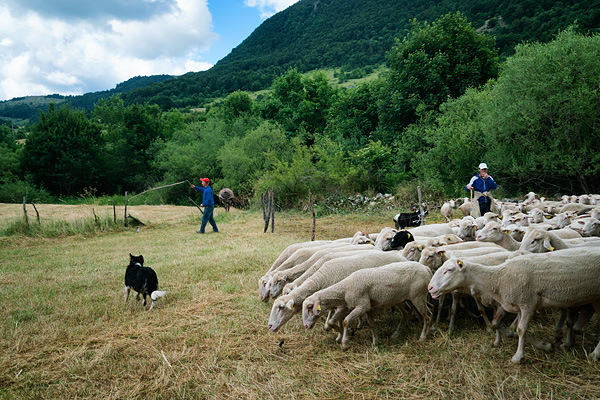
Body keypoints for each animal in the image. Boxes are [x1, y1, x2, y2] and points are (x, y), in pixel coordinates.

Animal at [302, 260, 434, 348]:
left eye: (310, 307)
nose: (306, 326)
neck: (346, 288)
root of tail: (426, 269)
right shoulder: (366, 306)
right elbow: (370, 324)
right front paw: (375, 343)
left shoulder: (362, 305)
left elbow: (346, 321)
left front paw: (345, 343)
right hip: (402, 298)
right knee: (409, 312)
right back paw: (396, 334)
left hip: (418, 296)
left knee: (427, 315)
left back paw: (422, 337)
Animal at [428, 248, 600, 364]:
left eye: (449, 270)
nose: (430, 288)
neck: (499, 277)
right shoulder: (513, 305)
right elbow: (509, 327)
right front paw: (545, 345)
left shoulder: (527, 303)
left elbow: (521, 330)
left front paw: (518, 357)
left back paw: (594, 353)